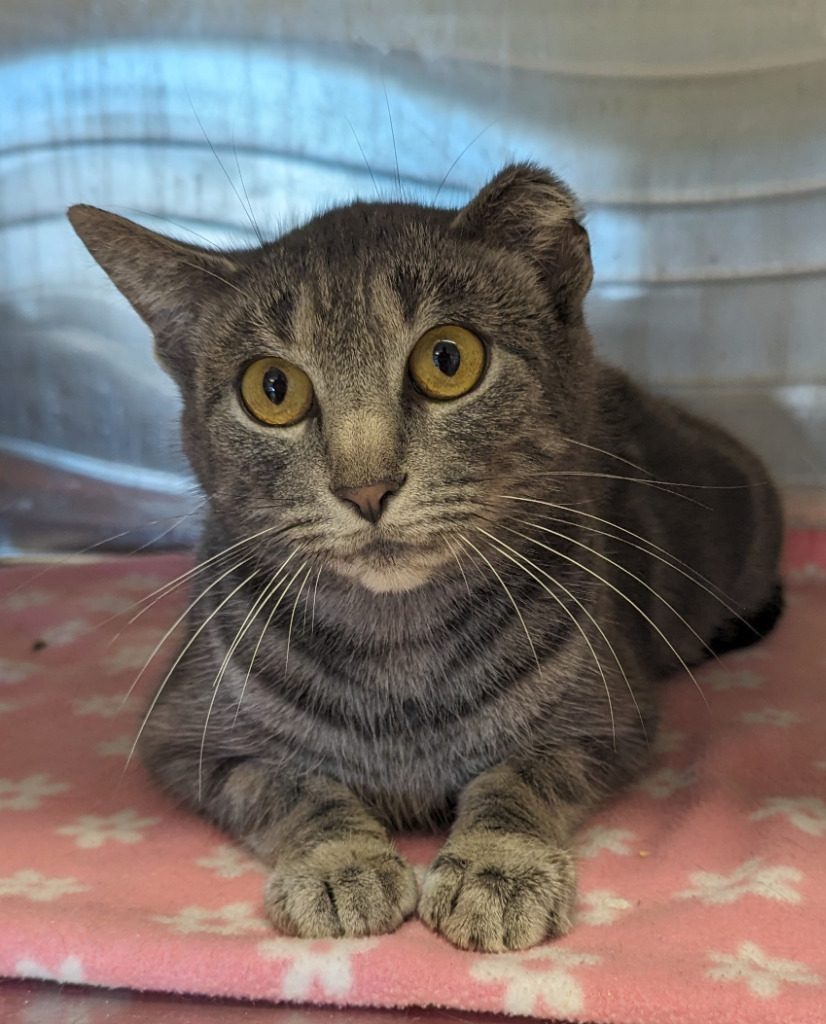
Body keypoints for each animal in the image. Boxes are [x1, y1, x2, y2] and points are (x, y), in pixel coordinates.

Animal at [68, 163, 786, 954]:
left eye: (449, 359)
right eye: (272, 389)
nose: (366, 487)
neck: (398, 652)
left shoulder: (610, 719)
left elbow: (521, 776)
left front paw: (497, 869)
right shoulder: (187, 738)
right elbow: (289, 786)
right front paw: (338, 864)